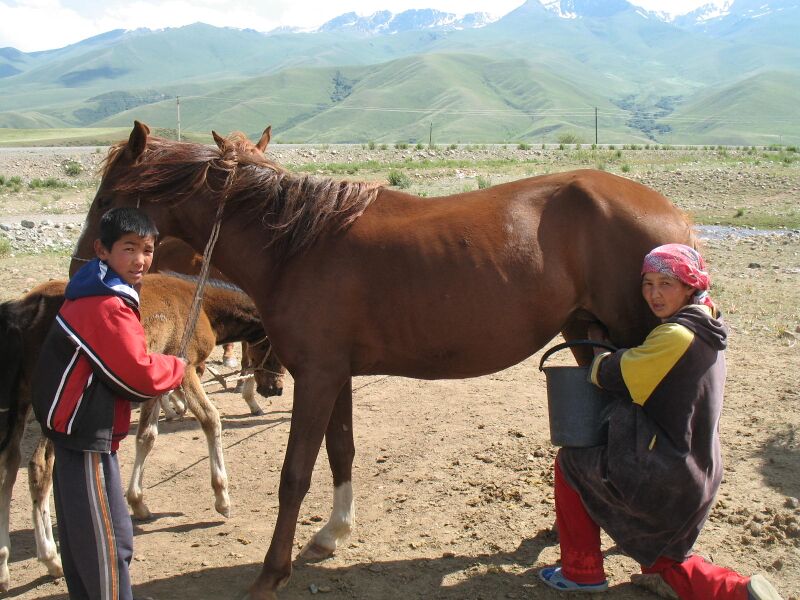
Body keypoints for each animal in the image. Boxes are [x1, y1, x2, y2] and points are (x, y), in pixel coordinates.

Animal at [0, 273, 282, 592]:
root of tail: (28, 308)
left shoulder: (154, 375)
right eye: (271, 346)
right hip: (52, 406)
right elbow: (211, 420)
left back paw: (4, 566)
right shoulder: (184, 367)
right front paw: (222, 498)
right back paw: (50, 557)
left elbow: (147, 435)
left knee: (9, 466)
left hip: (20, 401)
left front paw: (138, 502)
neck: (203, 306)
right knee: (39, 466)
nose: (275, 389)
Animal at [71, 121, 695, 600]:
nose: (83, 268)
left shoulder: (317, 377)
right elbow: (341, 452)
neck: (295, 246)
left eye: (107, 201)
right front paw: (333, 534)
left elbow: (294, 475)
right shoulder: (334, 375)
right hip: (589, 339)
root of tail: (672, 214)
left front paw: (272, 573)